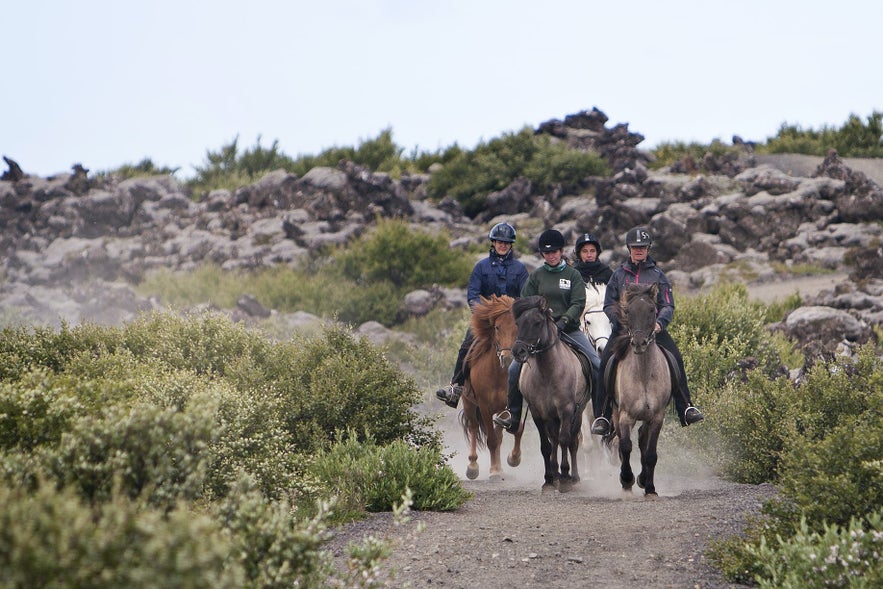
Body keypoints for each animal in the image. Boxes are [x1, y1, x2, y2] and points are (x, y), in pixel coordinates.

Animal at [456, 296, 524, 480]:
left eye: (518, 327)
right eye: (497, 327)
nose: (508, 358)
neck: (498, 374)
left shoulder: (508, 407)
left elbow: (510, 432)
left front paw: (512, 459)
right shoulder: (485, 407)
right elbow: (491, 440)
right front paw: (493, 471)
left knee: (498, 434)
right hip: (469, 403)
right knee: (473, 427)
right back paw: (472, 466)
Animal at [508, 294, 592, 492]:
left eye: (537, 322)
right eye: (518, 322)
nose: (518, 351)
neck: (548, 371)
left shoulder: (567, 410)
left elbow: (565, 440)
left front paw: (565, 477)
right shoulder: (538, 412)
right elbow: (545, 446)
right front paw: (548, 479)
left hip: (578, 413)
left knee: (572, 442)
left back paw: (573, 477)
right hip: (551, 416)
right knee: (553, 440)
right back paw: (555, 474)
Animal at [608, 282, 676, 494]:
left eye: (652, 309)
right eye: (628, 311)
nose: (639, 343)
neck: (644, 375)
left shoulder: (657, 417)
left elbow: (651, 453)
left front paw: (650, 488)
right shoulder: (625, 416)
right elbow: (625, 446)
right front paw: (627, 479)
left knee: (642, 440)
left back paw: (643, 479)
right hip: (616, 415)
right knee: (621, 442)